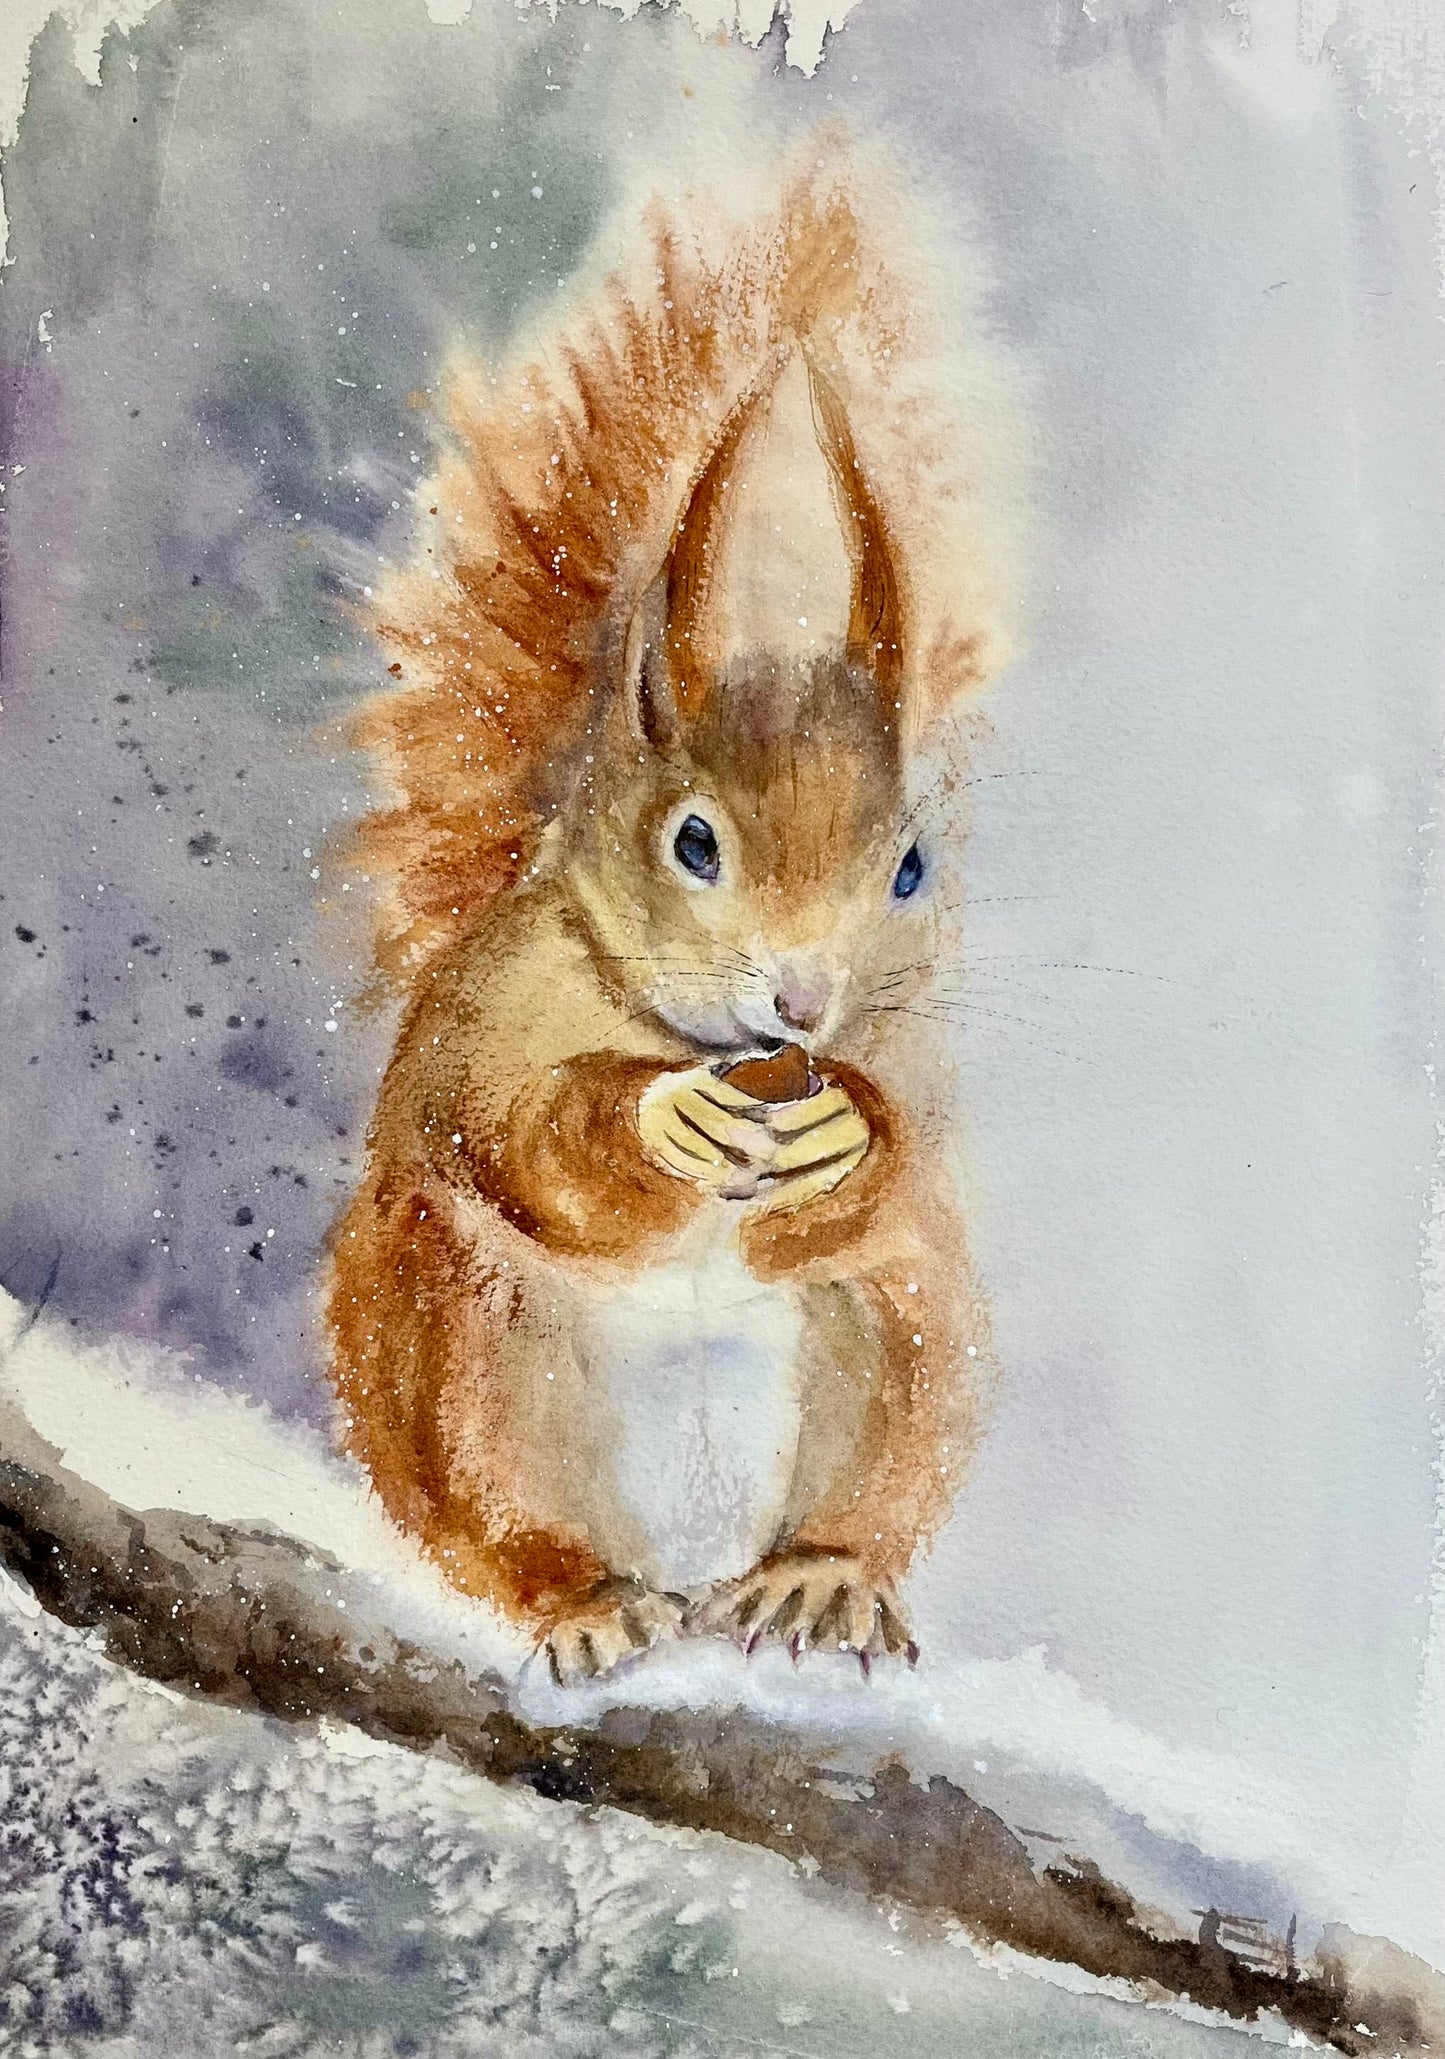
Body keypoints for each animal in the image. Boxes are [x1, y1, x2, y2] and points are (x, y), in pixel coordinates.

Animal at [325, 149, 1016, 1685]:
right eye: (693, 841)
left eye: (910, 868)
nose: (803, 998)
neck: (714, 1038)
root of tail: (694, 1567)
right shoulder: (484, 1004)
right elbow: (504, 1127)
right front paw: (664, 1121)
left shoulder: (913, 1069)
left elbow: (899, 1157)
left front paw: (838, 1132)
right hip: (462, 1368)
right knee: (501, 1536)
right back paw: (579, 1597)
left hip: (904, 1353)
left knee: (862, 1494)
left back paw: (819, 1577)